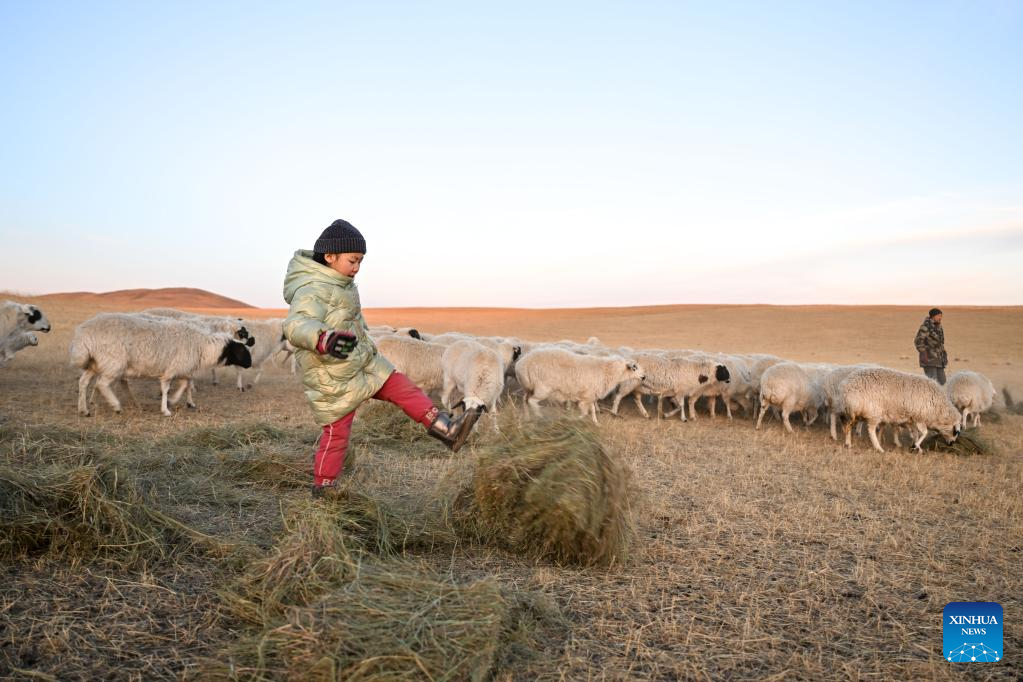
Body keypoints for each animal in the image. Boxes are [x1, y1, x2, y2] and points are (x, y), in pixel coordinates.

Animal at [70, 312, 253, 417]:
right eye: (242, 350)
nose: (250, 364)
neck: (203, 346)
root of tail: (83, 335)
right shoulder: (172, 370)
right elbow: (167, 388)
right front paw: (166, 408)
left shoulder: (183, 369)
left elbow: (185, 385)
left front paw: (178, 401)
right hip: (113, 362)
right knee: (102, 384)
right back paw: (115, 406)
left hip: (95, 363)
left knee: (84, 382)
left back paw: (84, 409)